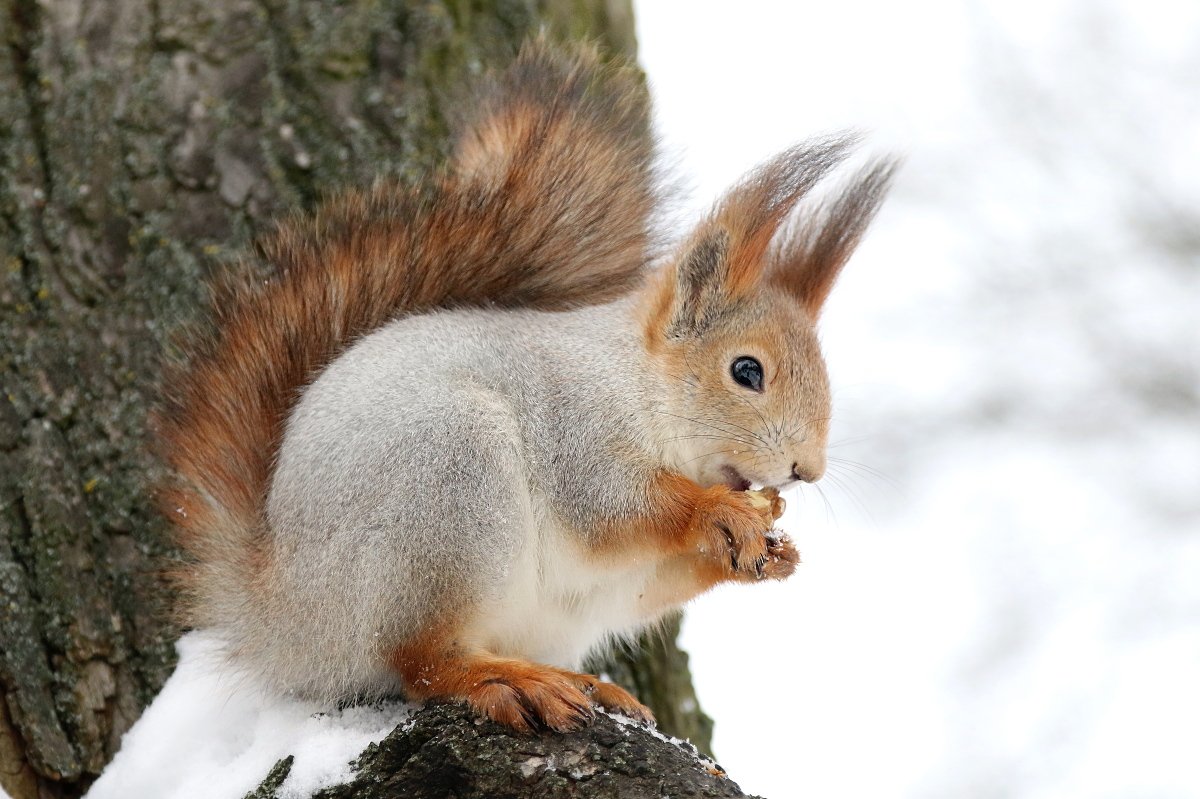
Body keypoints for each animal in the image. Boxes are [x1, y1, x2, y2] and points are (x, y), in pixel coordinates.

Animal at [154, 40, 897, 729]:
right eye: (747, 371)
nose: (807, 469)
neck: (639, 386)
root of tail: (281, 621)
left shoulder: (626, 578)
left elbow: (652, 581)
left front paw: (775, 552)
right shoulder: (575, 428)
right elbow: (613, 506)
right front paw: (715, 512)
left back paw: (588, 683)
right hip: (448, 490)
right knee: (422, 660)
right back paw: (506, 681)